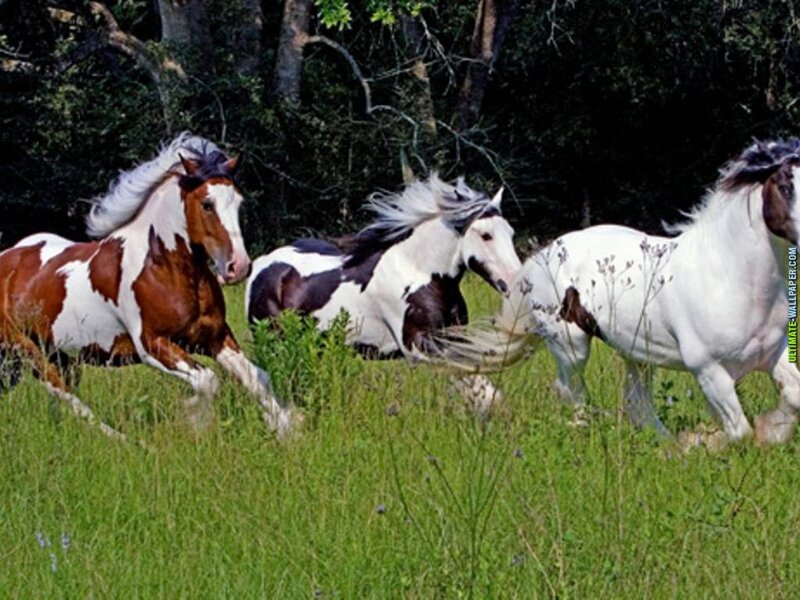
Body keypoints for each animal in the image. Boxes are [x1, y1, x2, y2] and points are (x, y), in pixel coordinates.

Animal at [0, 133, 297, 439]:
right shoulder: (152, 345)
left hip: (56, 356)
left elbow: (256, 378)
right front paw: (195, 425)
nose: (238, 266)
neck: (163, 269)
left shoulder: (215, 337)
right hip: (28, 351)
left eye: (238, 202)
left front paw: (286, 431)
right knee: (68, 397)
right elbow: (207, 381)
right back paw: (122, 440)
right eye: (207, 204)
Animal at [245, 174, 522, 413]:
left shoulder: (453, 335)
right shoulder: (419, 346)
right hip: (274, 342)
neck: (419, 272)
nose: (516, 282)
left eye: (511, 233)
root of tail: (262, 263)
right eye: (486, 235)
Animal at [434, 139, 800, 448]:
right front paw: (707, 442)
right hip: (571, 345)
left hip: (637, 352)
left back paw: (665, 446)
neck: (731, 280)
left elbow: (792, 397)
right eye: (785, 187)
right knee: (571, 392)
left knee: (636, 403)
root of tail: (542, 256)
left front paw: (771, 431)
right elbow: (739, 431)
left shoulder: (773, 352)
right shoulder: (708, 370)